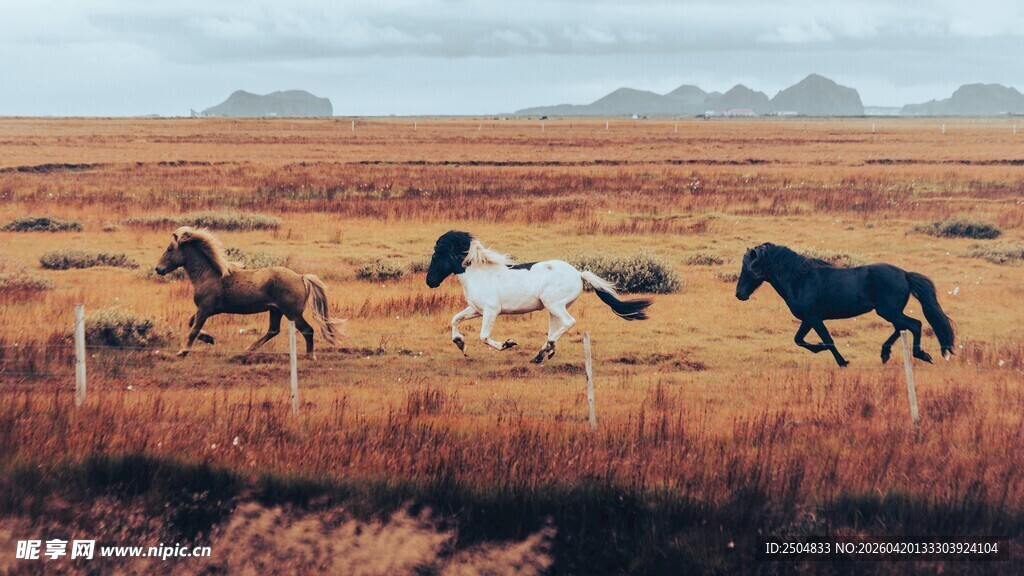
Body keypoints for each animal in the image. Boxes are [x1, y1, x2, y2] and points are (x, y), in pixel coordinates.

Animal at [154, 226, 345, 358]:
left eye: (170, 249)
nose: (158, 269)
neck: (208, 275)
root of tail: (301, 277)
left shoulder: (205, 309)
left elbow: (193, 329)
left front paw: (182, 352)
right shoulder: (206, 310)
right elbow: (190, 322)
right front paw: (209, 339)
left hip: (292, 313)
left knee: (307, 330)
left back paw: (310, 356)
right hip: (275, 310)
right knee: (273, 330)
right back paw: (248, 349)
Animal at [424, 231, 652, 364]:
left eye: (436, 256)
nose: (430, 282)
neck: (480, 274)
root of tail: (579, 274)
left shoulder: (491, 311)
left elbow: (484, 336)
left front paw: (508, 344)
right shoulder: (475, 310)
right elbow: (455, 319)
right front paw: (461, 344)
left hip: (555, 304)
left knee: (568, 322)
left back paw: (547, 349)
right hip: (552, 309)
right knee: (556, 328)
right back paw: (542, 354)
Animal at [734, 242, 955, 367]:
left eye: (749, 268)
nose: (739, 294)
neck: (799, 280)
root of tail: (904, 274)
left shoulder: (814, 318)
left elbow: (827, 340)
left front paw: (842, 361)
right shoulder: (808, 319)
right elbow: (799, 340)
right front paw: (821, 348)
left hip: (888, 311)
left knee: (914, 324)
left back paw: (921, 355)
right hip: (889, 312)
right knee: (902, 327)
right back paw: (885, 354)